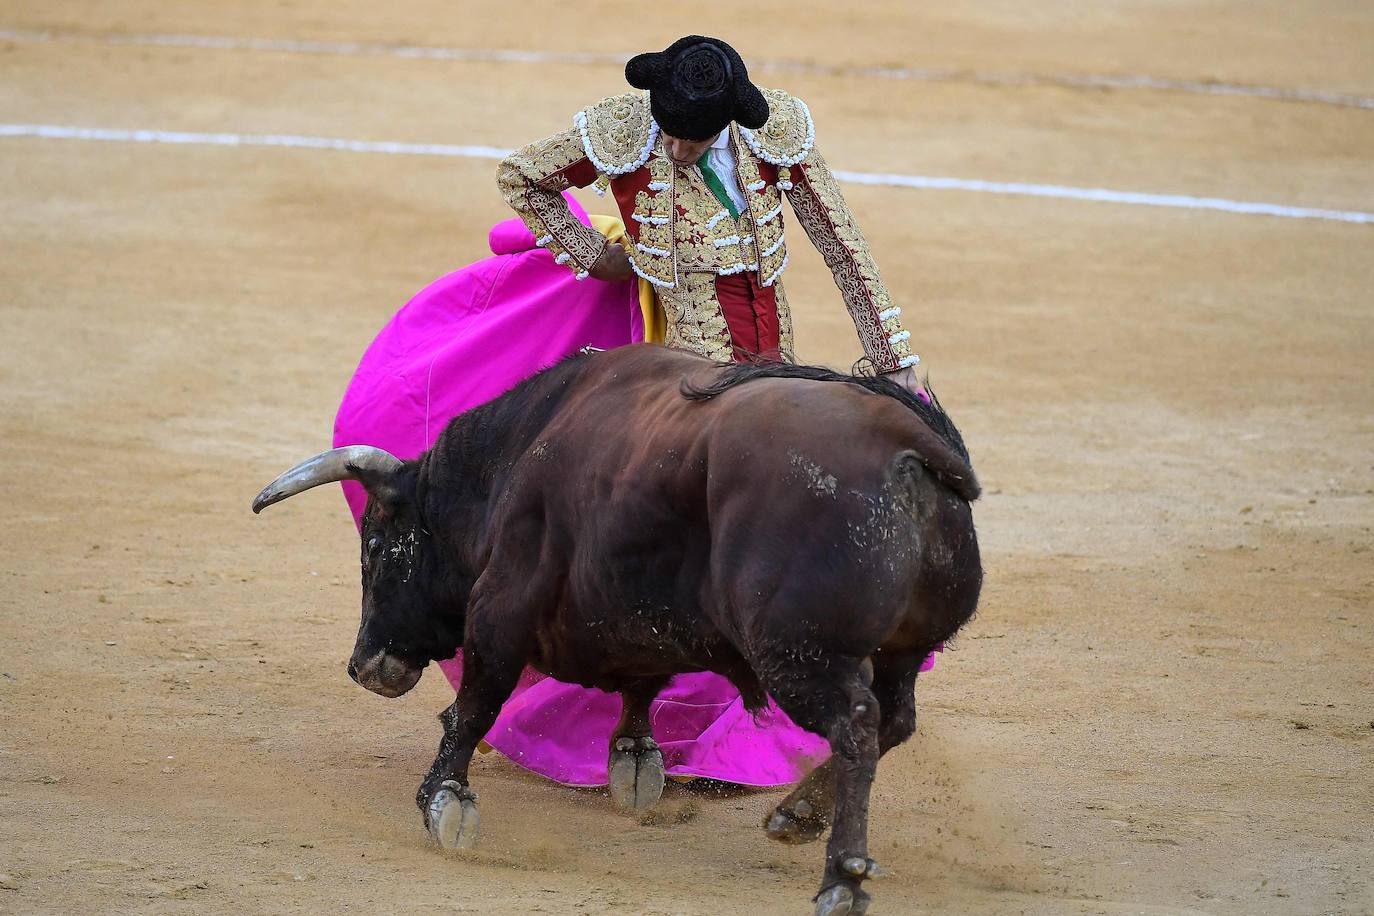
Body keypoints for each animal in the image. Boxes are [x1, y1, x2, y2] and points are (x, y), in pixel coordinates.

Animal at [247, 346, 978, 916]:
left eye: (374, 547)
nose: (361, 664)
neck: (518, 453)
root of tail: (906, 438)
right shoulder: (641, 612)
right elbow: (641, 683)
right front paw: (632, 757)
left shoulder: (502, 600)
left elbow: (477, 704)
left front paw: (443, 801)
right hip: (902, 650)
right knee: (893, 718)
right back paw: (794, 815)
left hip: (799, 653)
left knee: (856, 724)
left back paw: (841, 879)